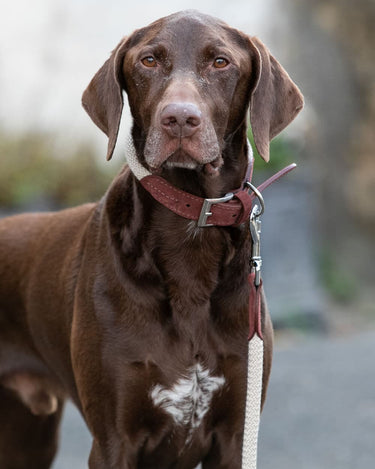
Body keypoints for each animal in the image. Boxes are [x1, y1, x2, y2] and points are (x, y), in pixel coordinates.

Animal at [0, 10, 302, 468]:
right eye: (148, 60)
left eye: (220, 62)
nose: (179, 119)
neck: (190, 233)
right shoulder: (113, 441)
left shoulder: (235, 437)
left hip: (26, 437)